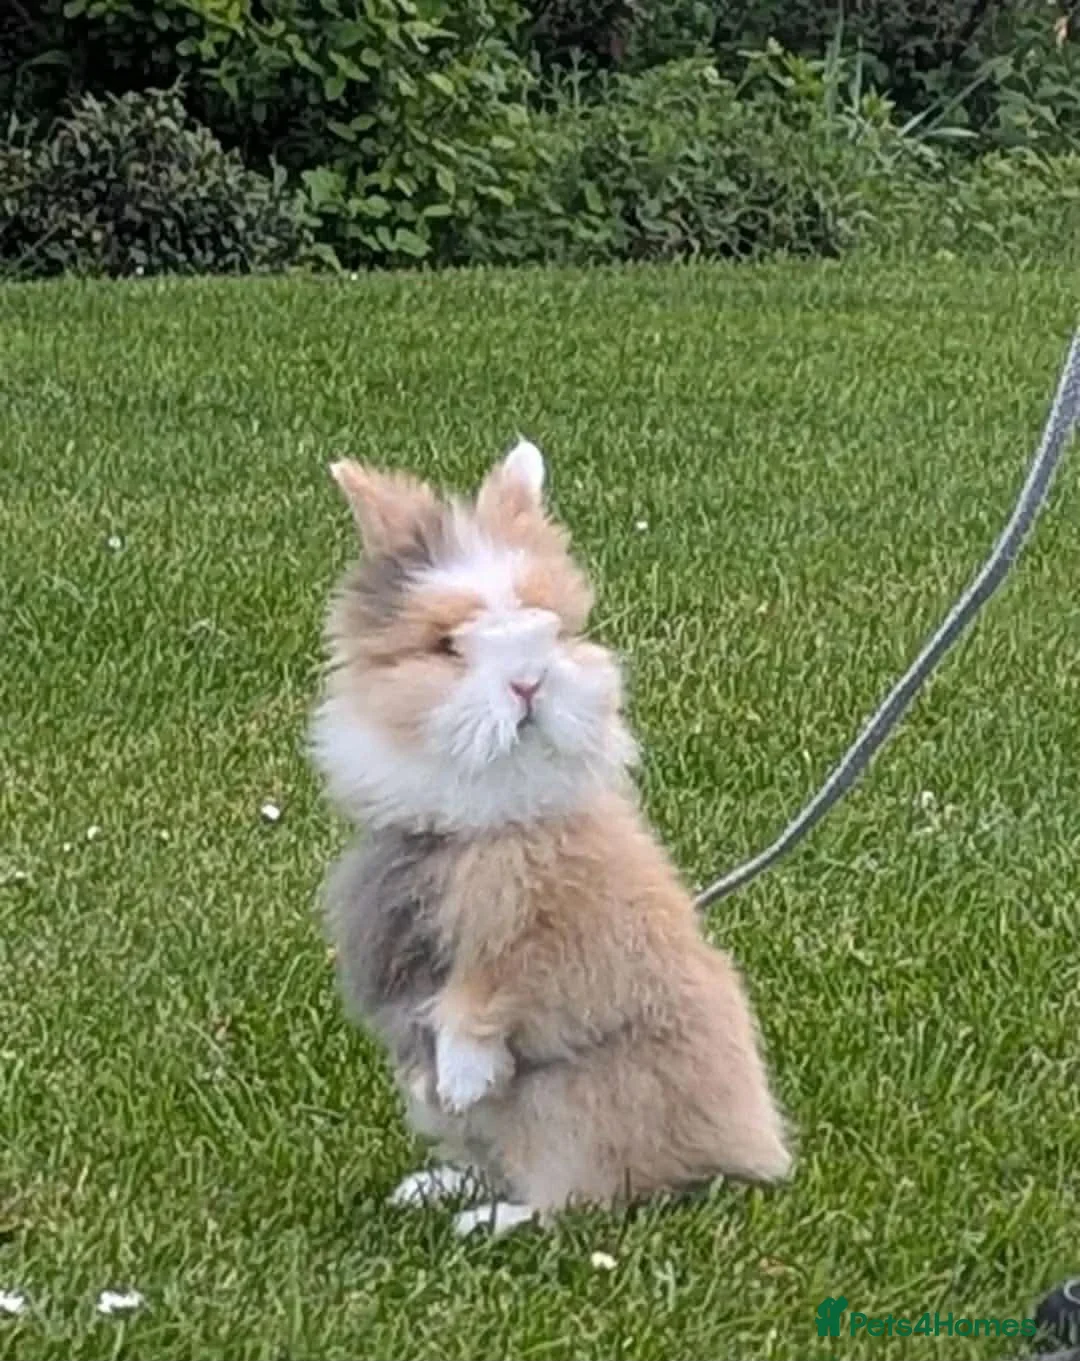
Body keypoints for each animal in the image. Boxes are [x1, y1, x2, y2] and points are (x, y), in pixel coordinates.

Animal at [310, 439, 792, 1236]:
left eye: (555, 629)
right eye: (447, 645)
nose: (529, 683)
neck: (484, 817)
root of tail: (747, 1149)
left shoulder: (541, 930)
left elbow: (488, 993)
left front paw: (463, 1073)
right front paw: (445, 1088)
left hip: (575, 1107)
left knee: (575, 1196)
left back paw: (488, 1221)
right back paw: (433, 1187)